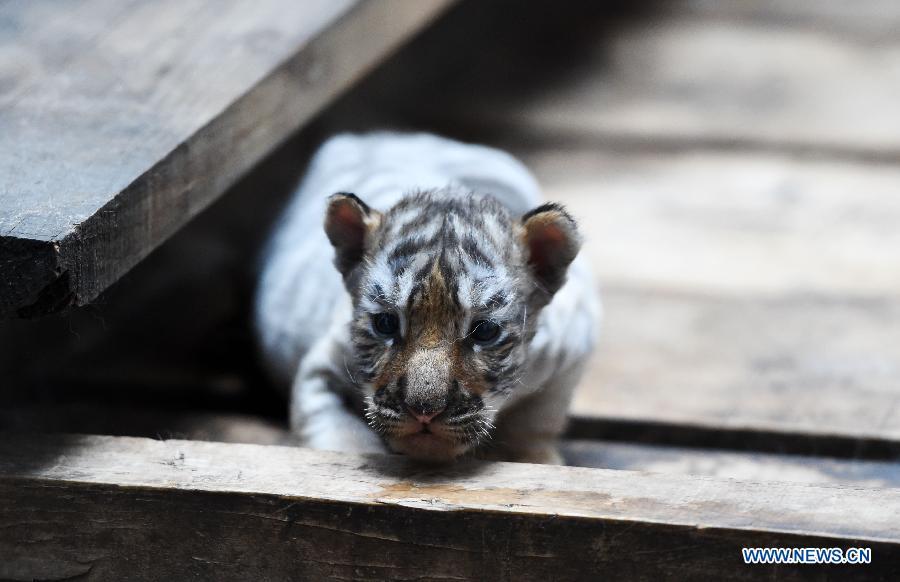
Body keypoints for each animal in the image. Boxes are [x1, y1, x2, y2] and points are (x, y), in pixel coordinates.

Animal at [255, 133, 600, 464]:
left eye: (485, 332)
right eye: (385, 324)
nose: (424, 412)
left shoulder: (571, 349)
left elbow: (537, 419)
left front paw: (535, 456)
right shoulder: (321, 371)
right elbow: (341, 439)